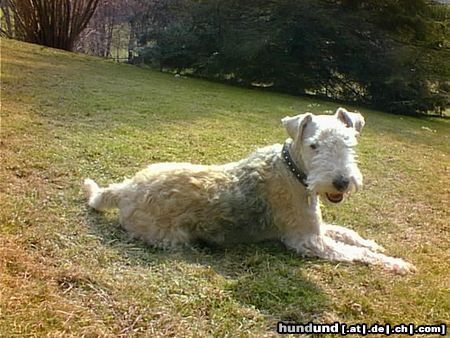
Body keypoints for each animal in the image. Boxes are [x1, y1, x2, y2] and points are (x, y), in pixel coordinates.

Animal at [83, 107, 414, 274]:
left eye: (349, 141)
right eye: (314, 145)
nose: (341, 182)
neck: (293, 170)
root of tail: (126, 188)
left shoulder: (315, 227)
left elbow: (349, 234)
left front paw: (374, 244)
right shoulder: (307, 240)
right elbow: (354, 253)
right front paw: (398, 264)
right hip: (171, 236)